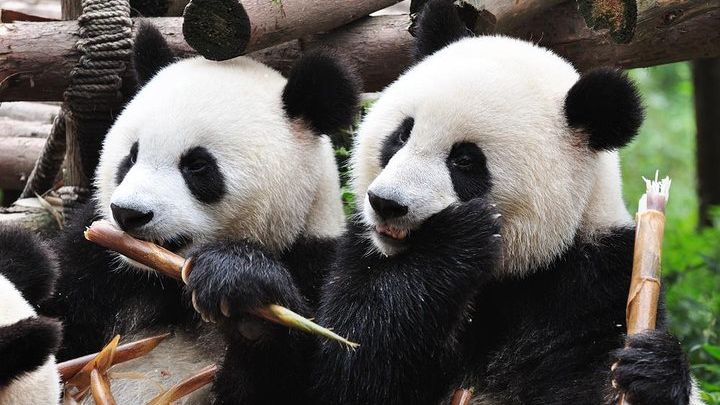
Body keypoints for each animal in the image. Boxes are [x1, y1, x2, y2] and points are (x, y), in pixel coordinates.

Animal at [37, 22, 359, 403]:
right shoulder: (96, 261)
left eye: (197, 166)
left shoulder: (319, 265)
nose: (128, 214)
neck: (165, 280)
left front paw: (242, 291)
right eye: (131, 156)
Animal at [310, 1, 702, 404]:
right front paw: (455, 240)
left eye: (465, 160)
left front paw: (653, 368)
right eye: (402, 134)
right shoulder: (361, 254)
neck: (510, 276)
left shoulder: (596, 282)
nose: (387, 203)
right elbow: (351, 362)